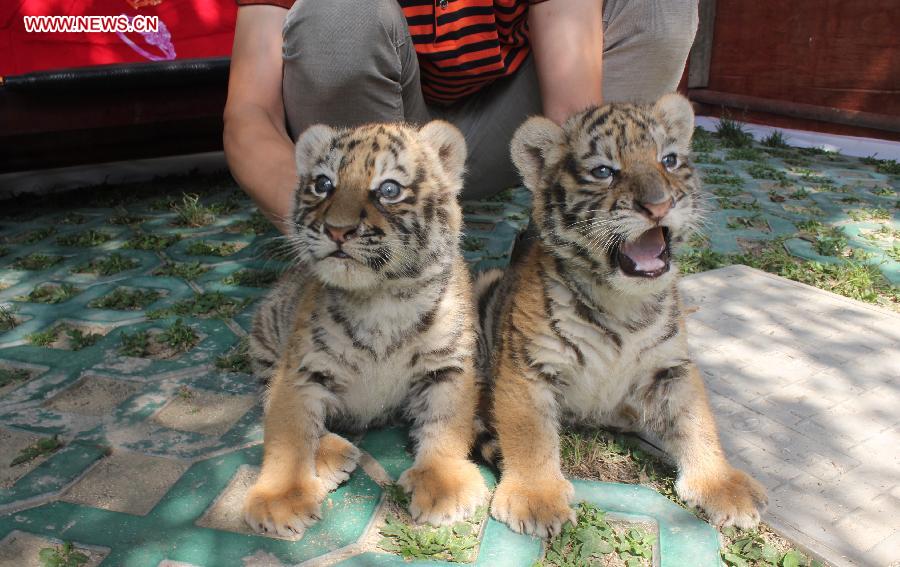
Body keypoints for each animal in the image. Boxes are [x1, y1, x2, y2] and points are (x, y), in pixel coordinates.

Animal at [243, 121, 488, 537]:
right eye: (323, 184)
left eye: (389, 189)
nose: (336, 231)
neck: (383, 298)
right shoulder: (299, 370)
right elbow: (287, 434)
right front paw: (280, 499)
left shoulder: (448, 366)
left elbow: (446, 422)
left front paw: (443, 485)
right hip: (266, 336)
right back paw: (330, 454)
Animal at [476, 94, 767, 538]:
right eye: (603, 171)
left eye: (669, 160)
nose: (660, 205)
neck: (622, 302)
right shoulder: (527, 366)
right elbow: (529, 433)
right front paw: (536, 498)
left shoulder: (671, 368)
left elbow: (698, 422)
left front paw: (721, 485)